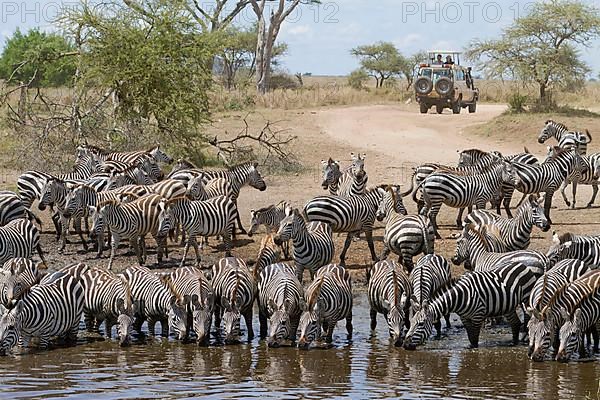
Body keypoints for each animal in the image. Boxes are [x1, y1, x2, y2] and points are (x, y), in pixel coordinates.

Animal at [404, 260, 544, 348]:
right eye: (411, 322)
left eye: (421, 324)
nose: (405, 345)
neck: (459, 297)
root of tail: (522, 264)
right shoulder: (464, 318)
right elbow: (470, 337)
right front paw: (469, 347)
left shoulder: (478, 315)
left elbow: (475, 338)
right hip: (508, 304)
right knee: (515, 323)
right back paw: (513, 343)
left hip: (526, 297)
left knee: (526, 317)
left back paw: (524, 337)